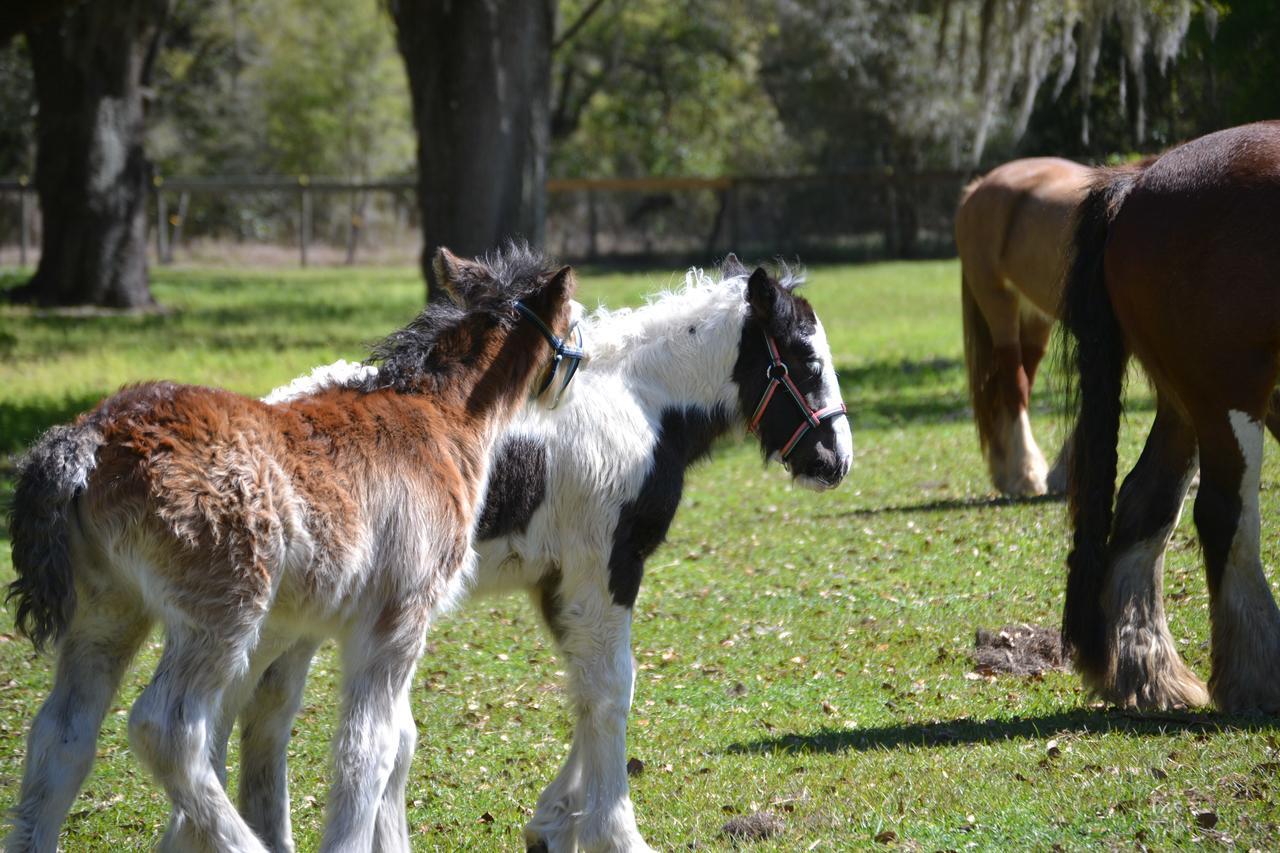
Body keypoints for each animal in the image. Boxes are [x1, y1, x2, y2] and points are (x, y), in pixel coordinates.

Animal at [5, 245, 576, 850]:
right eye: (574, 315)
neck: (442, 417)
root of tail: (93, 433)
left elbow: (385, 741)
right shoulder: (398, 617)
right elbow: (372, 748)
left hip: (109, 608)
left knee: (62, 734)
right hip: (223, 610)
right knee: (168, 730)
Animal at [244, 257, 855, 845]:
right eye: (805, 360)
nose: (836, 460)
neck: (639, 401)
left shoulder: (555, 581)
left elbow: (588, 686)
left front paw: (553, 824)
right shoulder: (605, 566)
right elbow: (612, 688)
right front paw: (613, 832)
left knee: (268, 716)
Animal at [957, 156, 1085, 494]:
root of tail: (977, 187)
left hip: (1035, 319)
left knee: (1020, 380)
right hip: (999, 304)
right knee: (1014, 385)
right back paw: (1025, 471)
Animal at [1064, 121, 1280, 712]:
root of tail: (1139, 182)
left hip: (1184, 405)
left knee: (1147, 502)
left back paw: (1148, 674)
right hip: (1226, 397)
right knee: (1224, 514)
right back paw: (1259, 677)